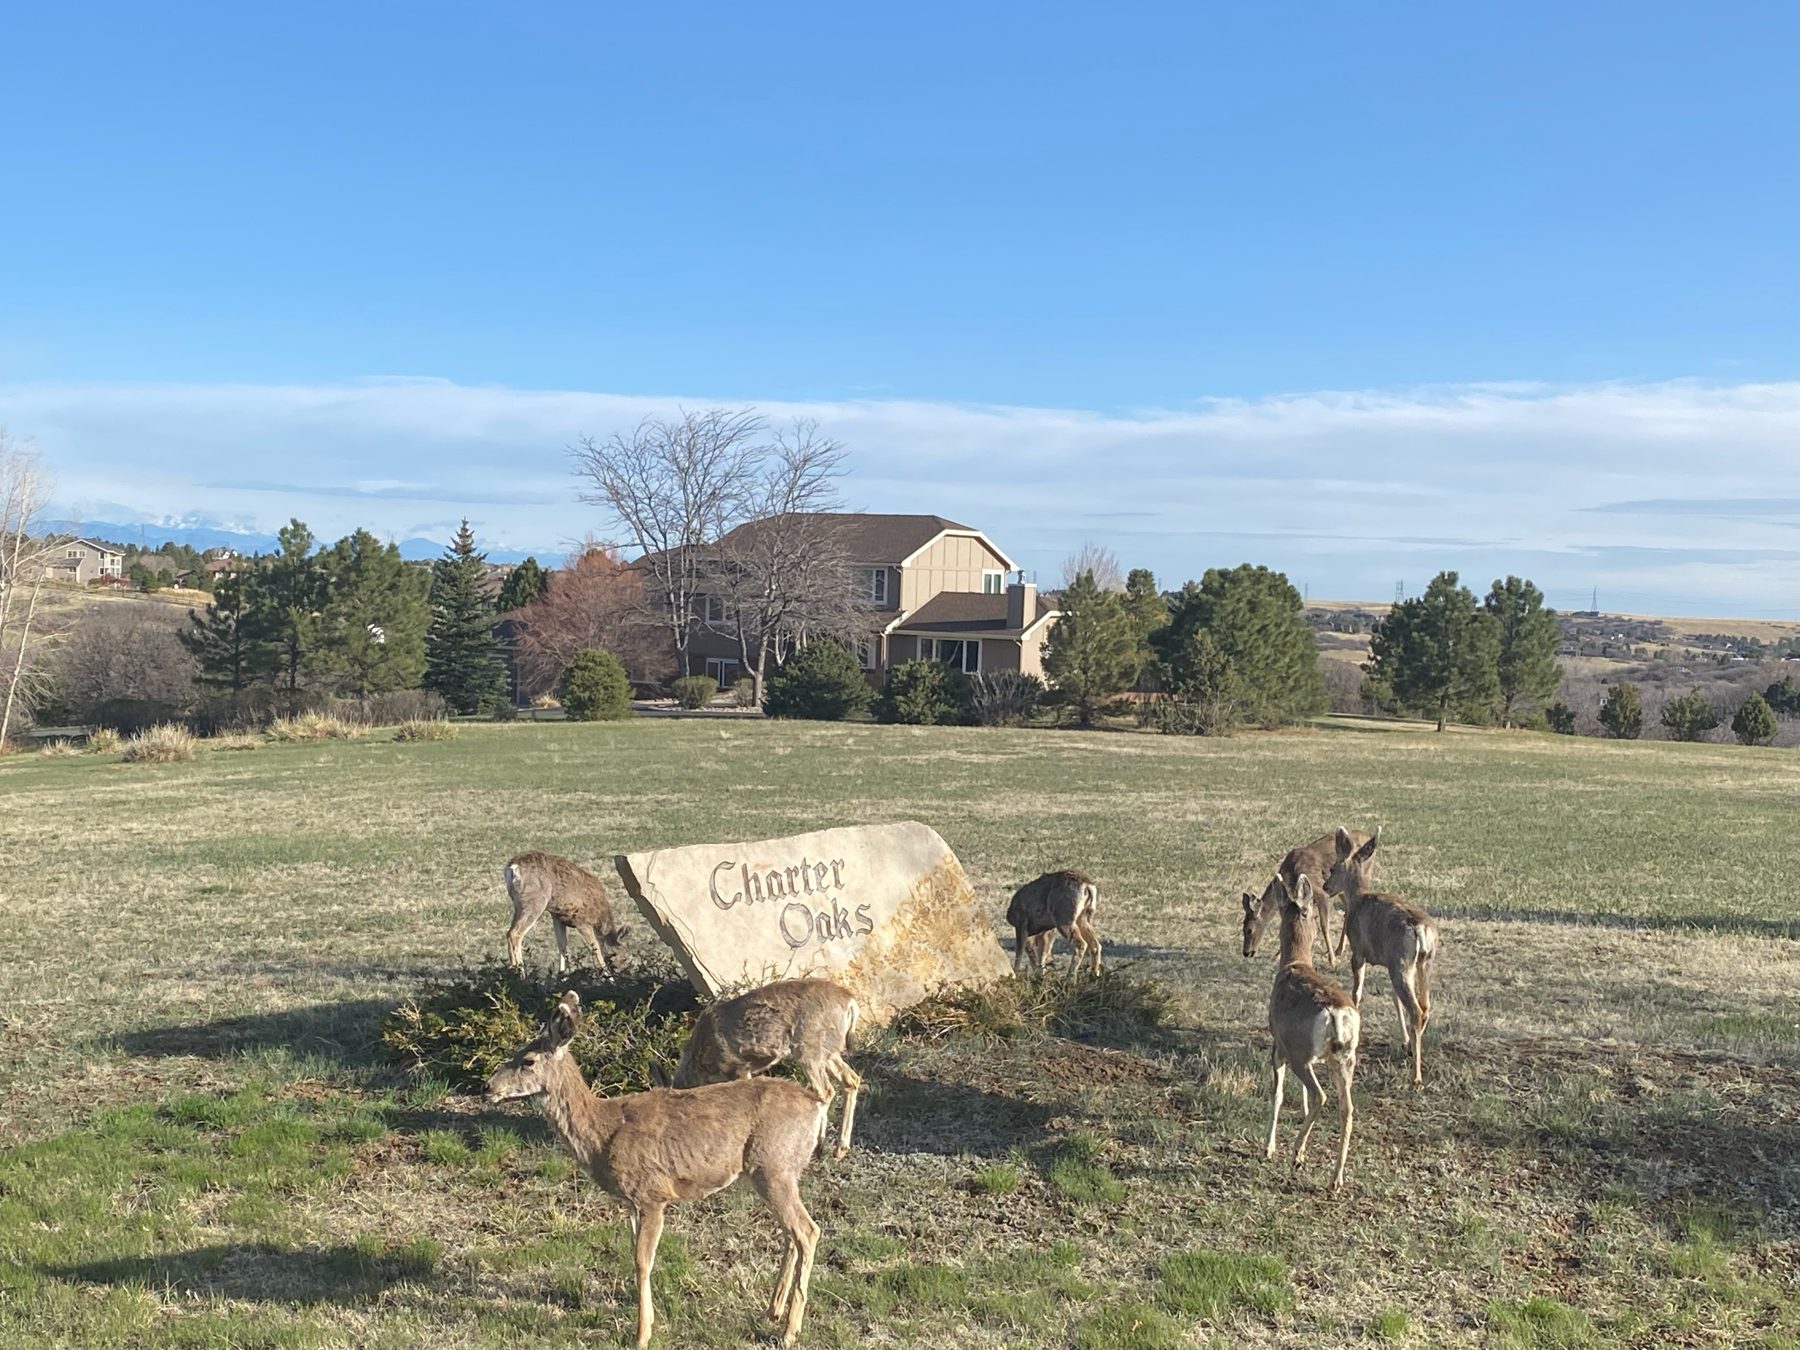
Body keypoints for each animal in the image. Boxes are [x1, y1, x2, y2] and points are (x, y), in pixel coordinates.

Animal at [485, 992, 827, 1350]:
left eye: (528, 1061)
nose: (487, 1087)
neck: (603, 1133)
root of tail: (816, 1105)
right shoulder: (631, 1202)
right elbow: (635, 1256)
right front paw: (646, 1325)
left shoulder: (652, 1192)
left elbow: (642, 1260)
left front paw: (641, 1335)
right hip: (778, 1171)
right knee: (791, 1234)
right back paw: (771, 1312)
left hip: (773, 1167)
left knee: (807, 1230)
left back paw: (789, 1331)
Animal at [662, 978, 864, 1160]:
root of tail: (850, 1002)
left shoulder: (739, 1067)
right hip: (829, 1053)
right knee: (851, 1080)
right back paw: (839, 1150)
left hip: (809, 1050)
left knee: (825, 1091)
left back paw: (818, 1147)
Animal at [1238, 828, 1373, 965]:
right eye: (1242, 927)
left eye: (1249, 930)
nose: (1246, 952)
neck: (1290, 876)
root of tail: (1368, 834)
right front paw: (1277, 955)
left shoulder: (1321, 893)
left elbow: (1324, 926)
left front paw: (1332, 960)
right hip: (1341, 890)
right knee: (1347, 909)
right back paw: (1339, 949)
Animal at [1261, 874, 1360, 1189]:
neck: (1295, 963)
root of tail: (1338, 1015)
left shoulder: (1278, 1046)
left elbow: (1278, 1094)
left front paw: (1268, 1148)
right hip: (1345, 1058)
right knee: (1346, 1108)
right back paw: (1335, 1179)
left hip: (1300, 1054)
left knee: (1321, 1095)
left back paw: (1297, 1154)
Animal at [1322, 826, 1439, 1089]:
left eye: (1333, 868)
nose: (1325, 886)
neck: (1358, 895)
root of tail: (1421, 930)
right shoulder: (1387, 961)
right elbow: (1394, 999)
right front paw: (1405, 1041)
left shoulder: (1359, 951)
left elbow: (1357, 992)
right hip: (1421, 962)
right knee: (1424, 1005)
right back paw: (1412, 1049)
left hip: (1402, 961)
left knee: (1416, 1009)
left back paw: (1416, 1078)